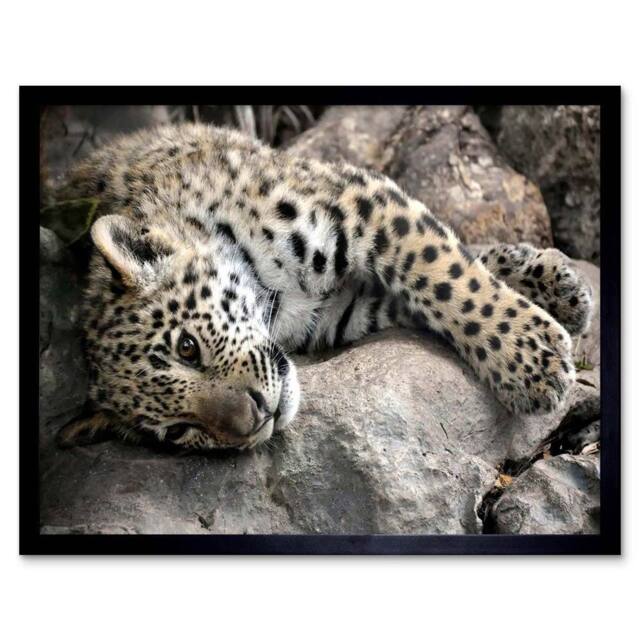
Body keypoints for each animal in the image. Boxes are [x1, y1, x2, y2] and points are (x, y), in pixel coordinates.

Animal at [55, 123, 594, 451]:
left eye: (187, 347)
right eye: (178, 432)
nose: (255, 420)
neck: (276, 298)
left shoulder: (357, 203)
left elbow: (442, 274)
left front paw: (532, 360)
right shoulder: (345, 311)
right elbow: (426, 290)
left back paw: (556, 282)